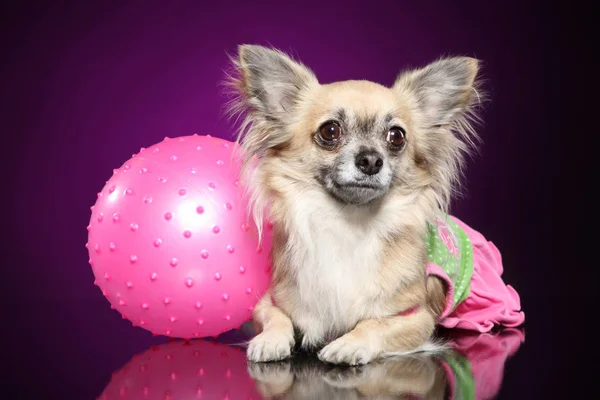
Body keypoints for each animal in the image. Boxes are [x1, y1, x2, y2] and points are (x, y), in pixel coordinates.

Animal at [225, 45, 482, 364]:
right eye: (330, 131)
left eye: (396, 137)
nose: (371, 160)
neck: (349, 221)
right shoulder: (271, 300)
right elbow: (276, 317)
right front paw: (270, 340)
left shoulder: (416, 317)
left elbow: (375, 324)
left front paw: (348, 344)